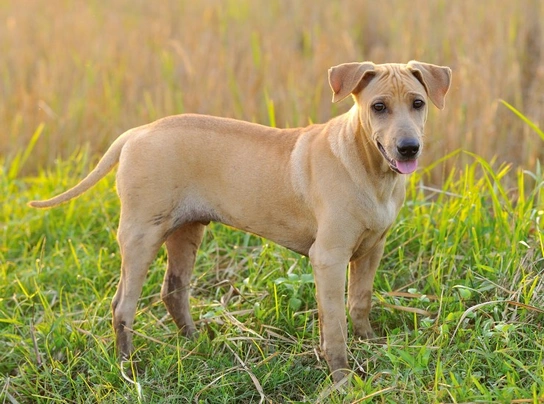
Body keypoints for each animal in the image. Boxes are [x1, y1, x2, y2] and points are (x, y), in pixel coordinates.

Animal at [31, 60, 452, 382]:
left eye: (418, 103)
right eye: (379, 107)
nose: (409, 148)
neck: (369, 167)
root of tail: (136, 132)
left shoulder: (371, 249)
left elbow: (360, 302)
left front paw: (369, 344)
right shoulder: (328, 258)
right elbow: (334, 325)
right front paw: (341, 378)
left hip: (186, 230)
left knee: (173, 289)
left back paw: (195, 341)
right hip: (141, 235)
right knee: (123, 305)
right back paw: (127, 367)